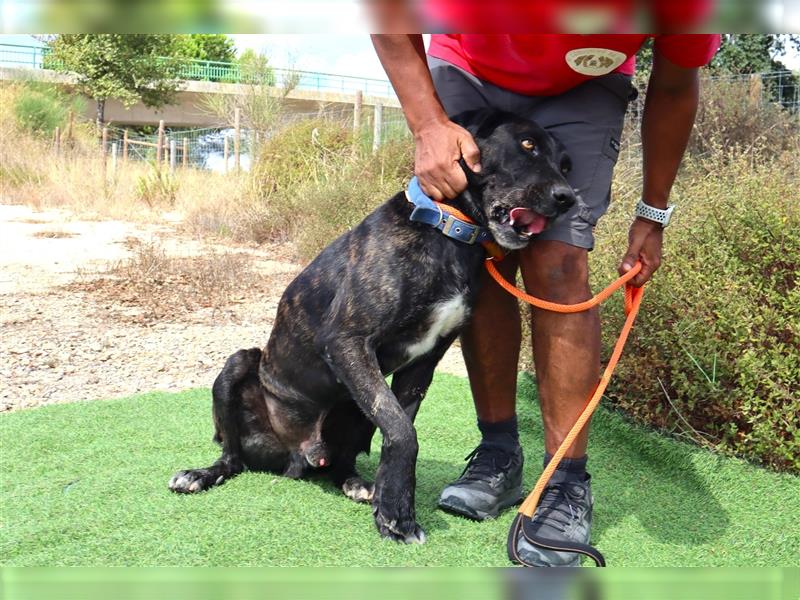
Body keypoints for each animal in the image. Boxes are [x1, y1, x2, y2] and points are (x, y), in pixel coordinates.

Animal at [172, 108, 580, 544]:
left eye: (566, 166)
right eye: (527, 144)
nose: (568, 199)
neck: (447, 234)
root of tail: (297, 457)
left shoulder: (423, 363)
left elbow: (400, 427)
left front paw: (389, 500)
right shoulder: (348, 342)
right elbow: (402, 430)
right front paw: (399, 516)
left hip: (351, 406)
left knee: (341, 463)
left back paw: (357, 484)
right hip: (238, 369)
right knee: (233, 458)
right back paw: (200, 474)